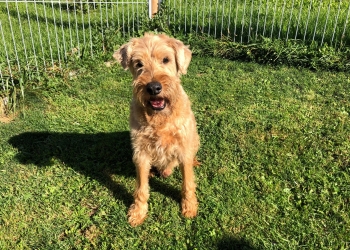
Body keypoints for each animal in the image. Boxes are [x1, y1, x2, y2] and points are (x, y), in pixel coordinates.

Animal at [114, 33, 200, 227]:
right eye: (138, 63)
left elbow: (188, 183)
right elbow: (141, 188)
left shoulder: (183, 149)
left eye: (166, 59)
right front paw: (138, 212)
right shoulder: (141, 152)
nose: (153, 88)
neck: (160, 119)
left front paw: (189, 207)